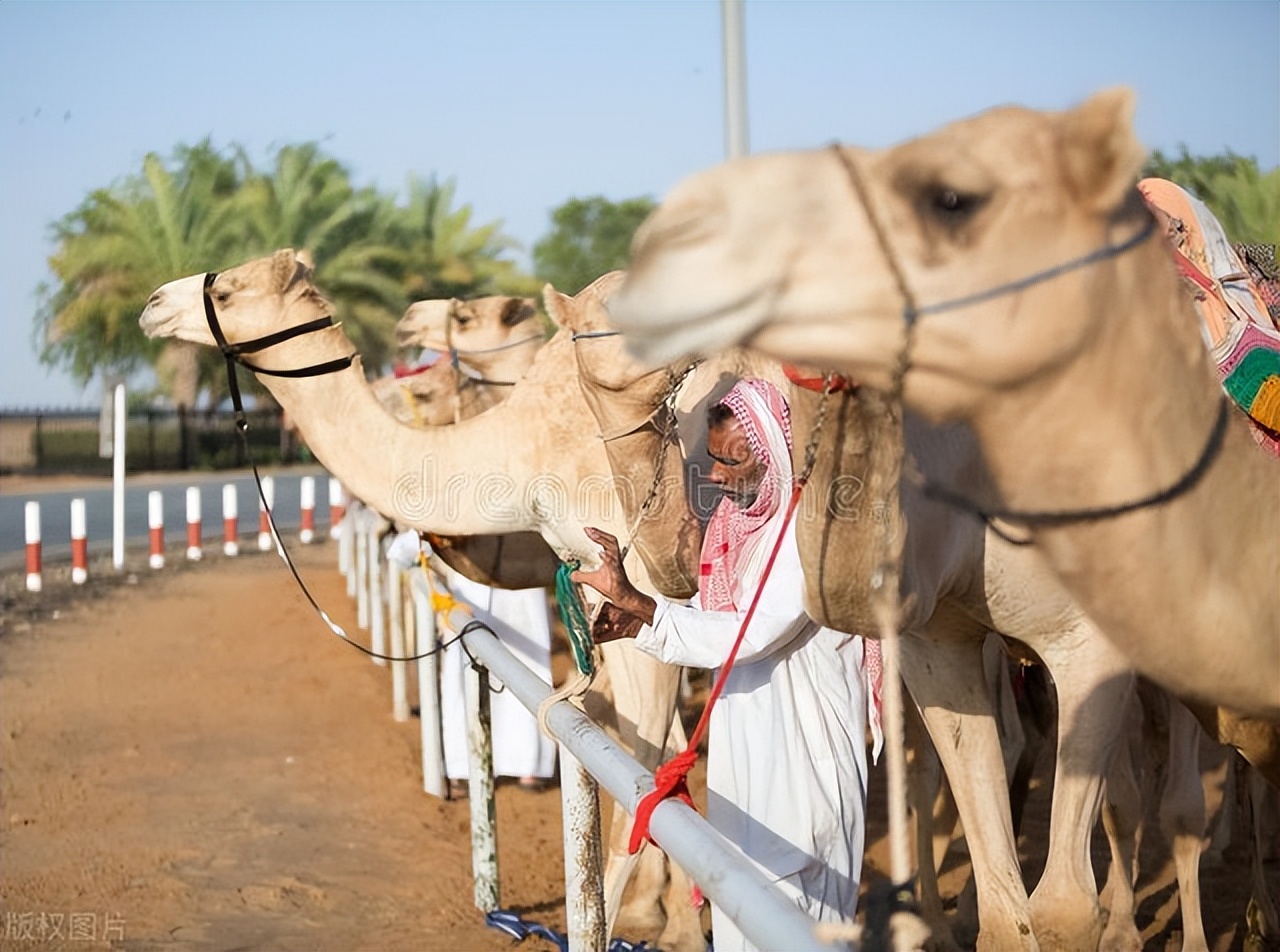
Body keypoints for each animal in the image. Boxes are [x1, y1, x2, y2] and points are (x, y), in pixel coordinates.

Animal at [138, 252, 705, 951]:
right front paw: (662, 914)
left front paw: (661, 921)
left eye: (228, 289)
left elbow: (647, 755)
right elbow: (645, 738)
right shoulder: (602, 581)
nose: (154, 303)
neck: (523, 445)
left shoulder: (642, 570)